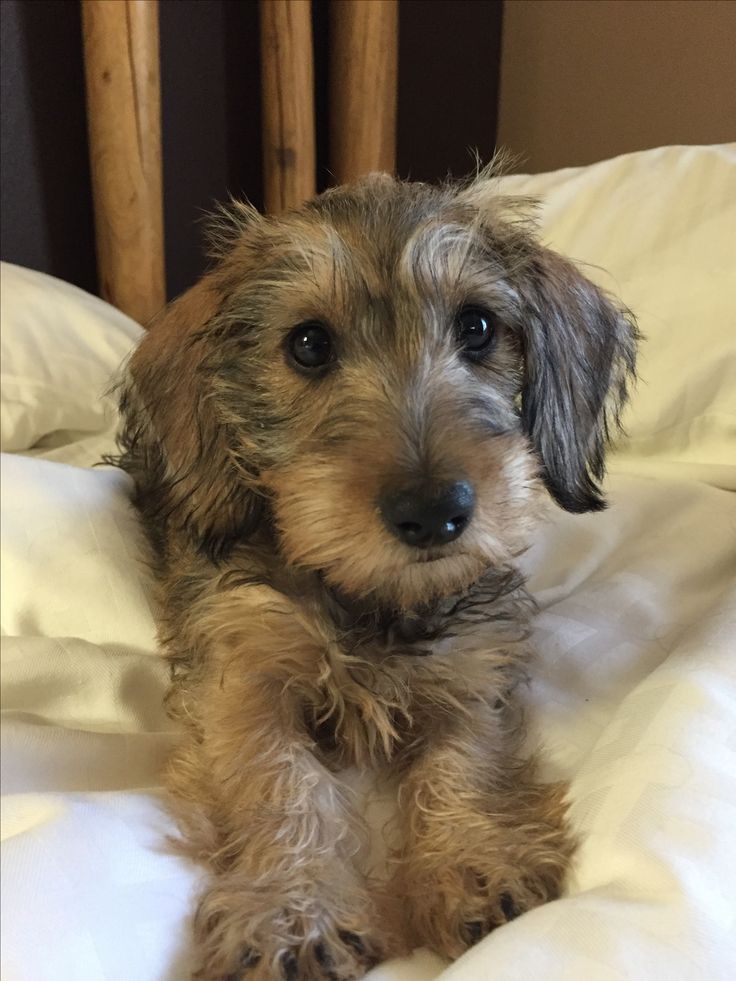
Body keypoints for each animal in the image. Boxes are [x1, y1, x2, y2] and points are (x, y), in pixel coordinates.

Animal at [115, 167, 640, 972]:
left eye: (478, 327)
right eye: (307, 344)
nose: (434, 510)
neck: (374, 599)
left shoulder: (474, 666)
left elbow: (465, 762)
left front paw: (472, 862)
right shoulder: (239, 674)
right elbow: (278, 779)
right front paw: (292, 911)